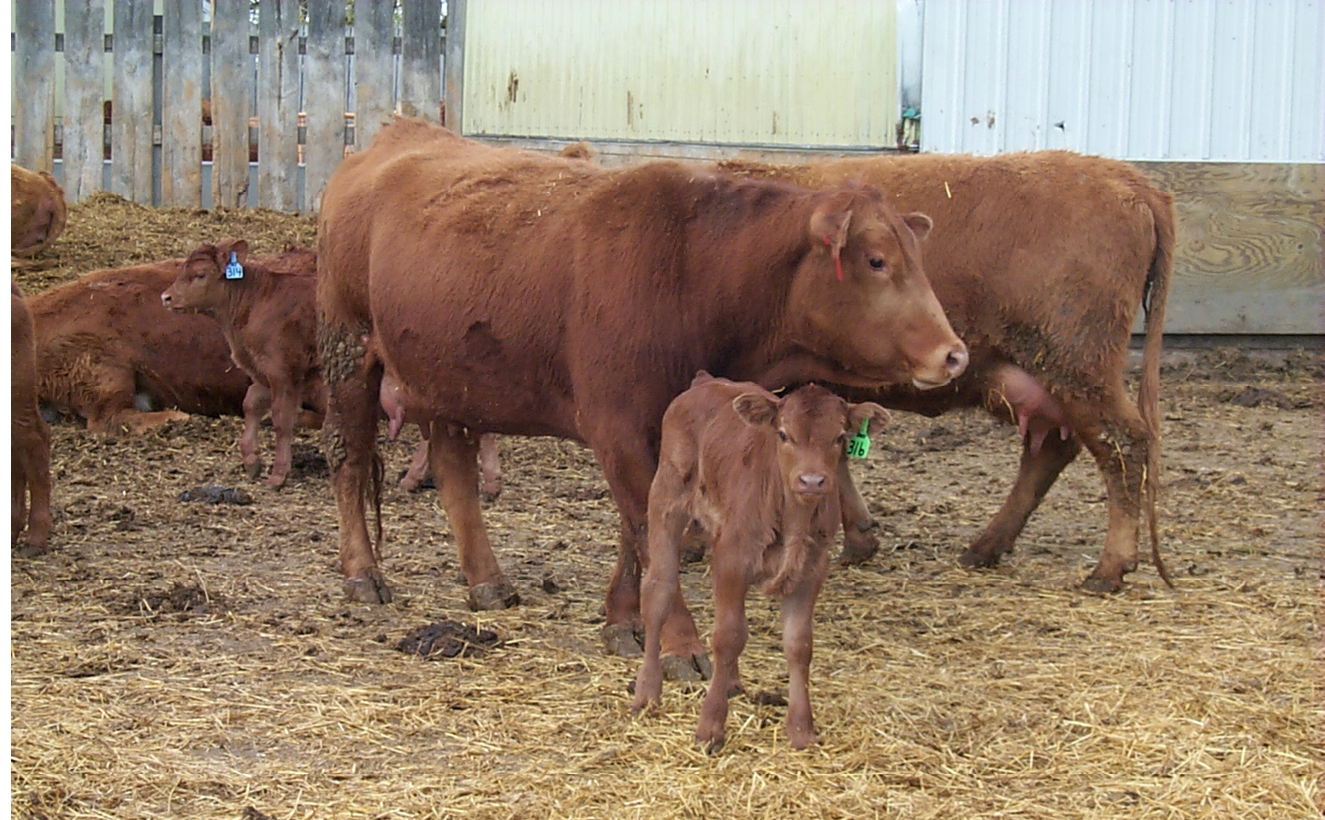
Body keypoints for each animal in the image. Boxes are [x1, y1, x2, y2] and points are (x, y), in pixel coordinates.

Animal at [161, 241, 326, 488]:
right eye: (182, 270)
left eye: (200, 274)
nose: (166, 297)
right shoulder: (263, 370)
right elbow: (251, 402)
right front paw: (251, 460)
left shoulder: (283, 371)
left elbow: (282, 418)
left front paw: (279, 473)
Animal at [316, 117, 968, 669]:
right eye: (877, 260)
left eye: (917, 257)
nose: (954, 353)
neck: (692, 267)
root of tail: (397, 132)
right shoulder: (619, 429)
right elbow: (651, 532)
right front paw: (678, 643)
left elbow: (639, 533)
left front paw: (624, 620)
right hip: (349, 351)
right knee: (349, 461)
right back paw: (361, 571)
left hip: (449, 377)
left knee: (454, 473)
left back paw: (487, 580)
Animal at [632, 373, 888, 752]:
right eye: (783, 434)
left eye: (840, 437)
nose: (812, 480)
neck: (793, 518)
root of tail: (707, 381)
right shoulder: (732, 560)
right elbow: (728, 636)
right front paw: (710, 727)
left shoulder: (812, 570)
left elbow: (798, 644)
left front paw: (801, 730)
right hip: (667, 497)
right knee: (658, 591)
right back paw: (647, 694)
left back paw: (731, 683)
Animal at [719, 151, 1175, 592]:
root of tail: (1127, 179)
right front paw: (859, 537)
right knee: (1053, 450)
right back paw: (987, 545)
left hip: (1077, 368)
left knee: (1124, 445)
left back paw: (1110, 567)